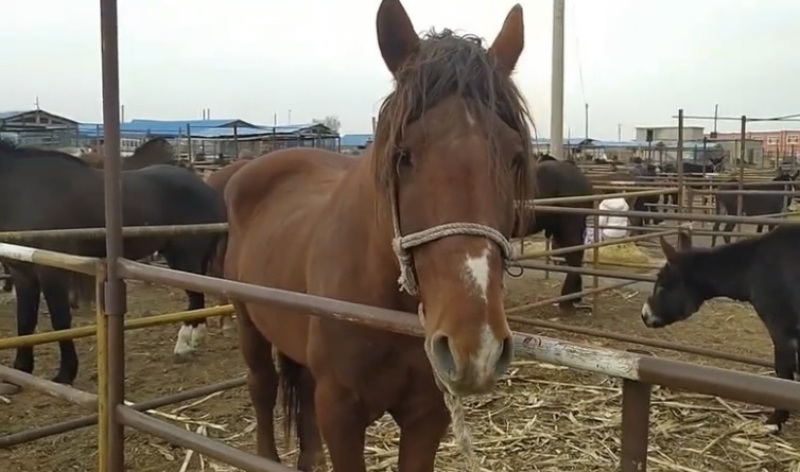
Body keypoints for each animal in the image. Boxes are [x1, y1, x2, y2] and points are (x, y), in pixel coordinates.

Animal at [0, 139, 227, 390]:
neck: (23, 191)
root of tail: (207, 188)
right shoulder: (22, 273)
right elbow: (25, 322)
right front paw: (20, 371)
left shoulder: (53, 272)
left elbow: (60, 321)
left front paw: (65, 374)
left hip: (185, 258)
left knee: (195, 297)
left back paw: (184, 346)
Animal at [223, 1, 532, 470]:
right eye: (404, 155)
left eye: (514, 157)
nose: (475, 348)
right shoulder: (341, 413)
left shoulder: (427, 414)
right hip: (248, 320)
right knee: (262, 386)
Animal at [640, 229, 800, 432]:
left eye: (661, 286)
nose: (644, 314)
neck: (751, 268)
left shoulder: (781, 330)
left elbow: (784, 373)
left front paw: (776, 419)